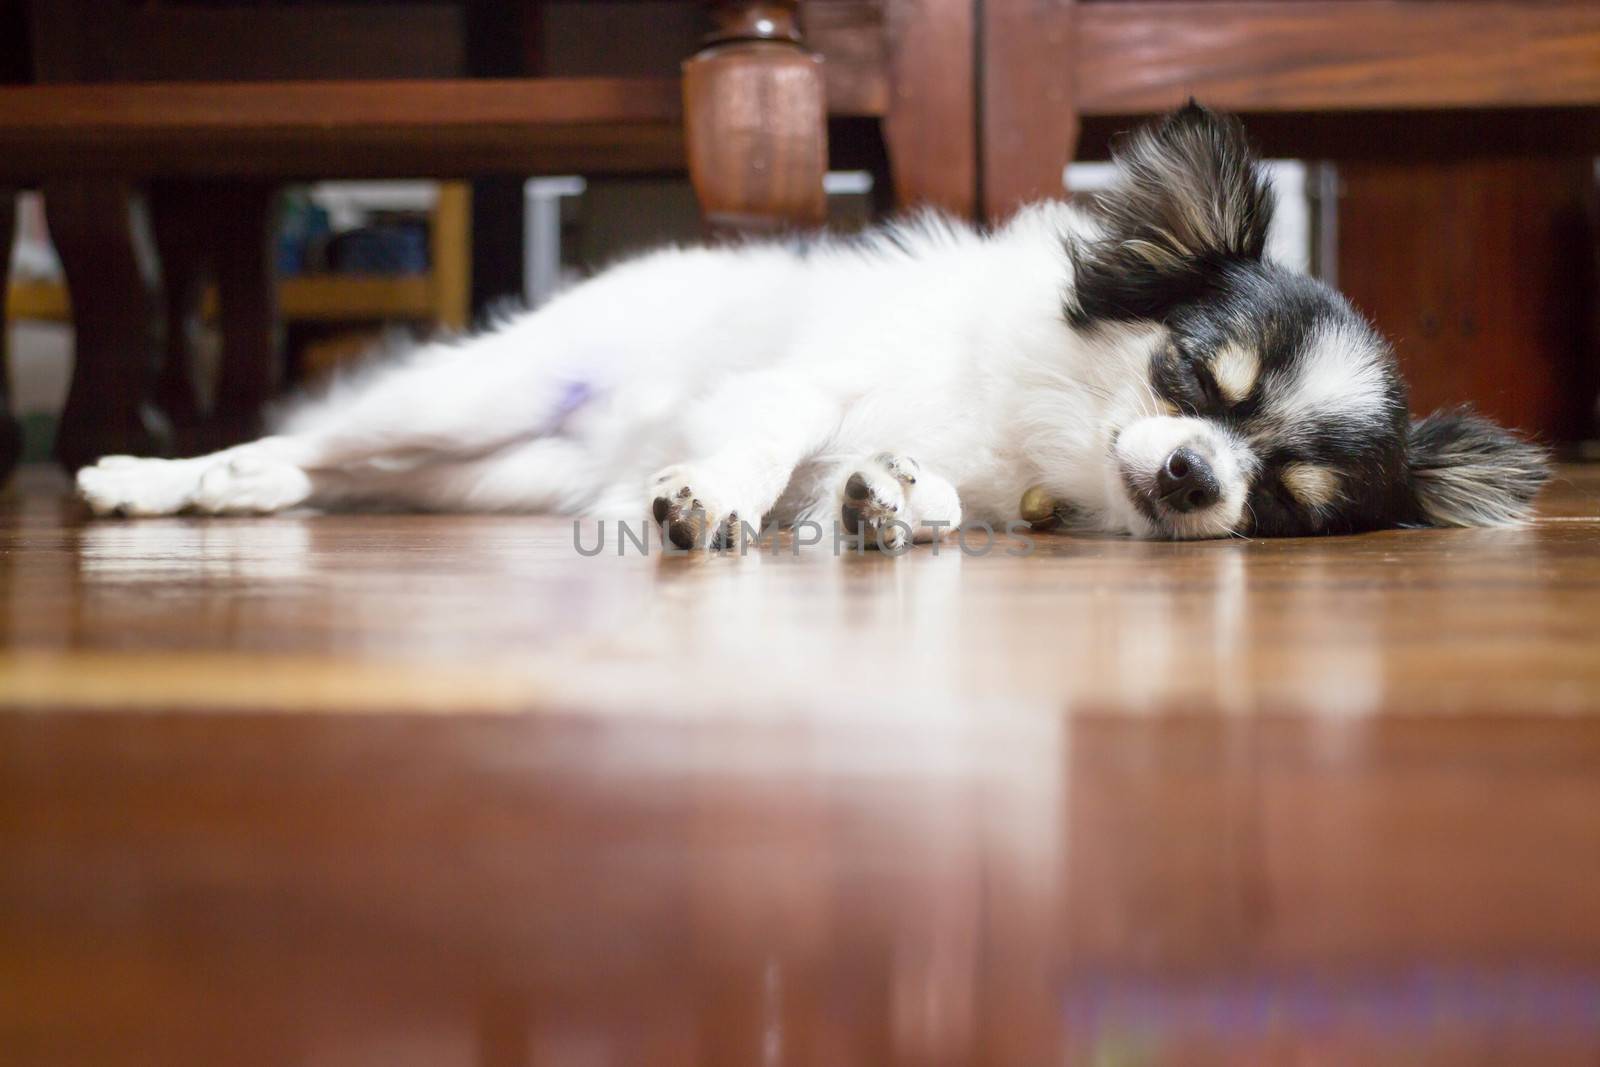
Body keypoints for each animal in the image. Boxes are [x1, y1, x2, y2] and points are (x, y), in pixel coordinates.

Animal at [75, 103, 1548, 547]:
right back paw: (147, 475)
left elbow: (914, 487)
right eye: (1190, 372)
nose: (1194, 472)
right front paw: (720, 497)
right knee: (309, 441)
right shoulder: (812, 379)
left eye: (1285, 499)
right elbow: (777, 427)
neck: (1048, 451)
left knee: (327, 472)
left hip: (488, 475)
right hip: (474, 400)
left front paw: (890, 499)